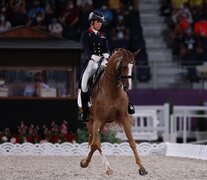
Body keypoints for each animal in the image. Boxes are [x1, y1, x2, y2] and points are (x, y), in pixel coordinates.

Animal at [79, 47, 147, 176]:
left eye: (133, 66)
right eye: (123, 66)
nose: (127, 87)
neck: (112, 91)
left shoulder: (124, 117)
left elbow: (132, 142)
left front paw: (142, 168)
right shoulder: (98, 119)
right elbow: (96, 144)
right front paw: (108, 168)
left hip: (102, 123)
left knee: (92, 140)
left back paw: (86, 161)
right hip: (91, 121)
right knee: (93, 141)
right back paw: (88, 162)